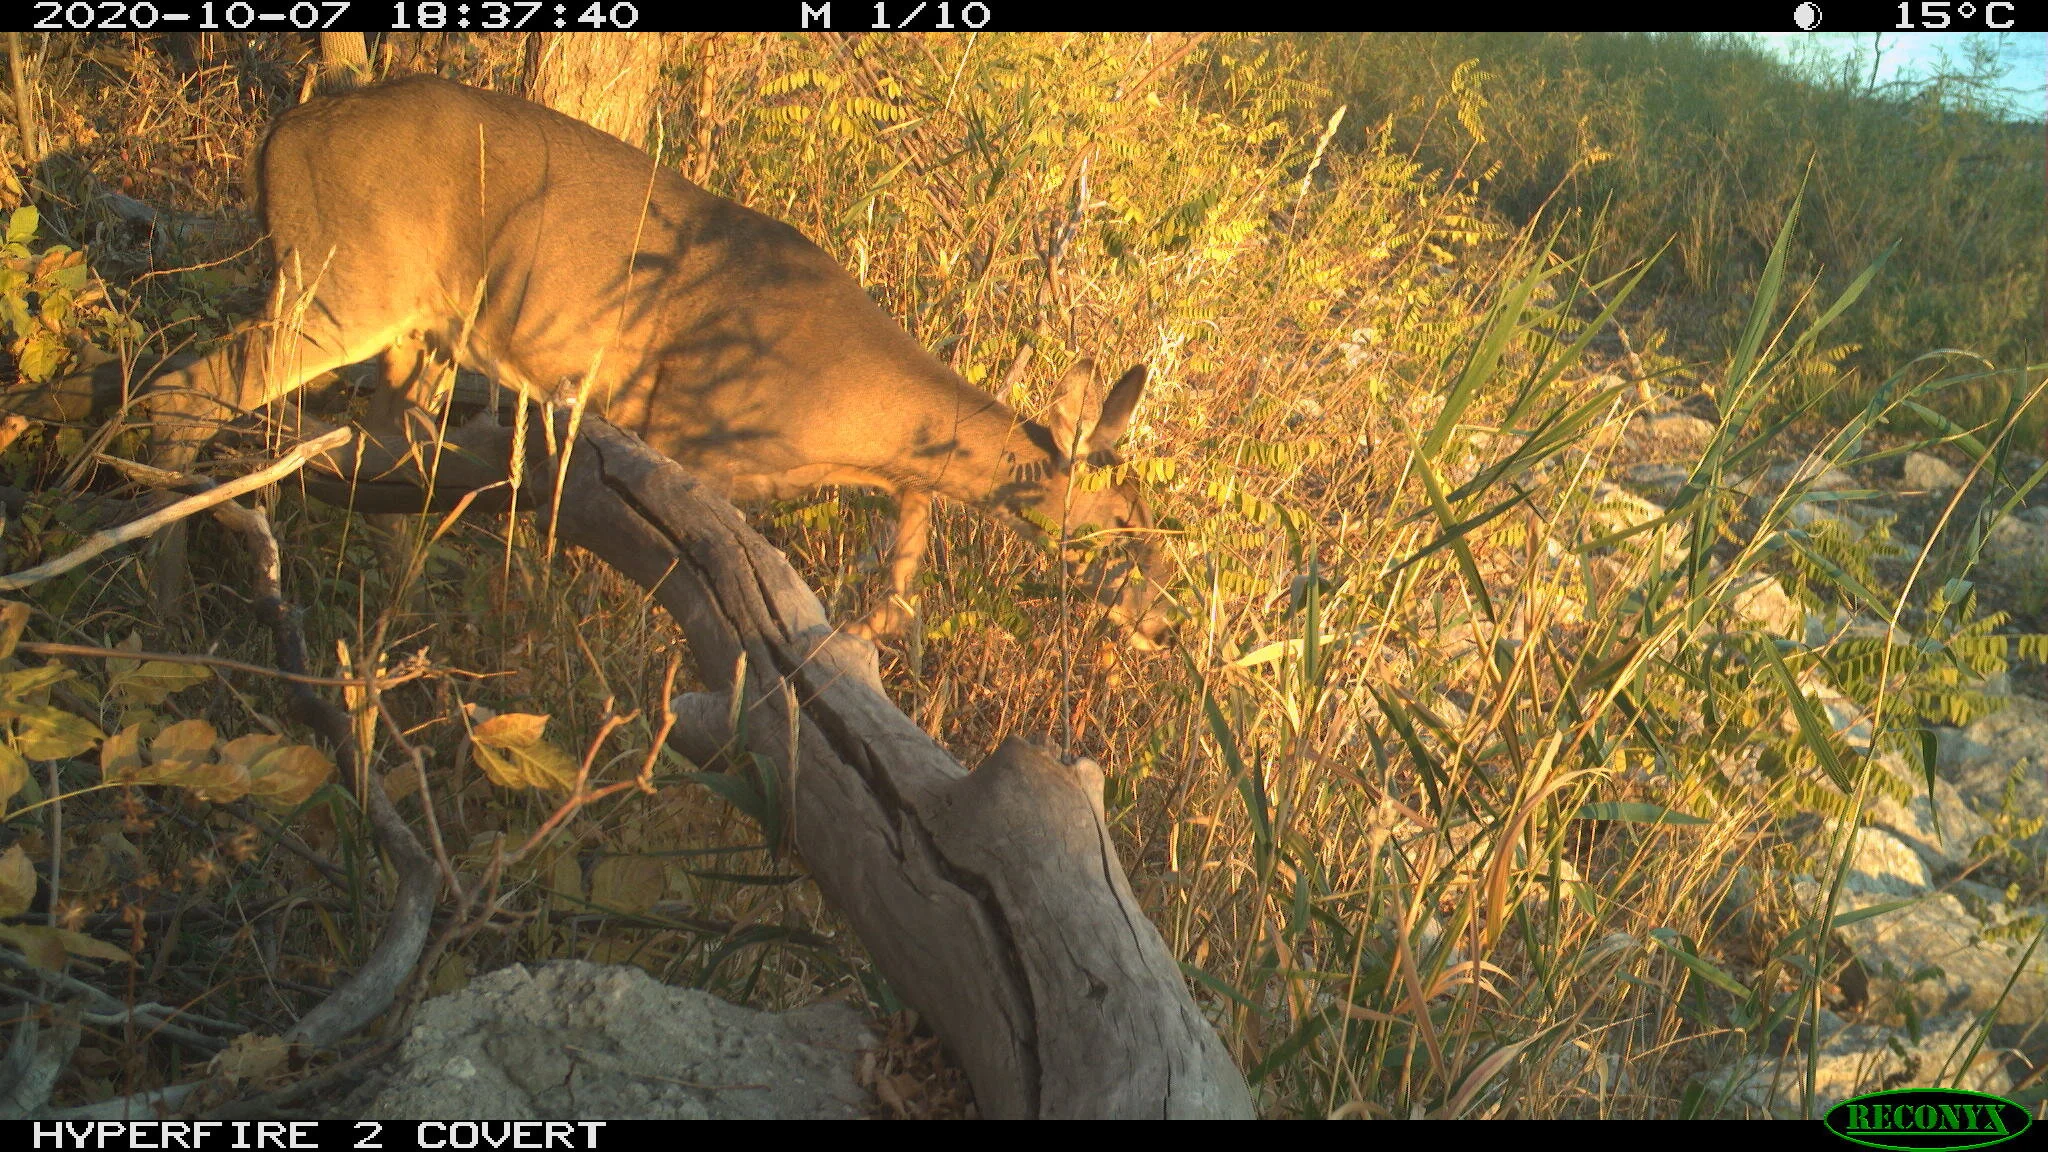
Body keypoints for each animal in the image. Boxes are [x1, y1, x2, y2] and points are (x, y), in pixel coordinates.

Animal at [79, 75, 1172, 648]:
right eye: (1123, 521)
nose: (1162, 616)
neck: (853, 420)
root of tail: (279, 132)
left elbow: (901, 568)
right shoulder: (683, 434)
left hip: (408, 330)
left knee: (383, 453)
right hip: (344, 277)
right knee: (185, 392)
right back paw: (160, 601)